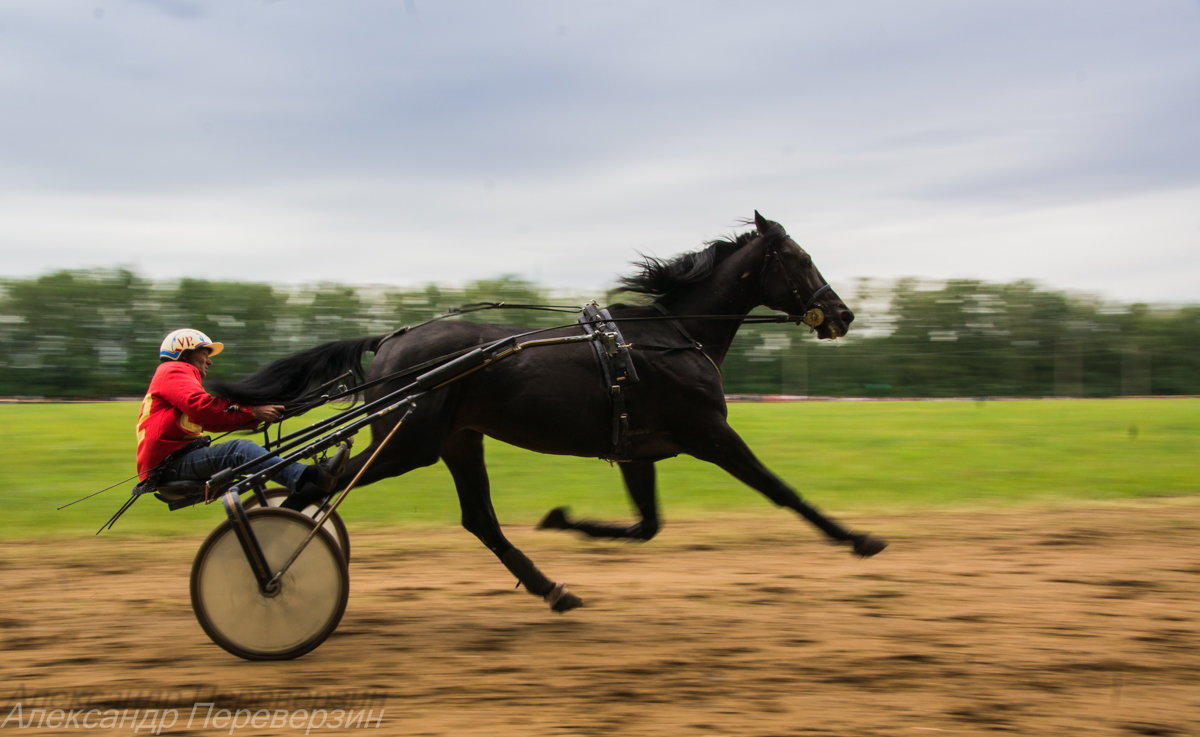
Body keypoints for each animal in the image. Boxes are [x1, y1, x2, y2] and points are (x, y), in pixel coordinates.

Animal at [220, 212, 888, 612]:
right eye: (801, 257)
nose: (844, 314)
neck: (672, 336)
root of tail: (391, 341)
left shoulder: (636, 448)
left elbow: (646, 525)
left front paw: (566, 519)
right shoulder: (710, 432)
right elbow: (782, 490)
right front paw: (859, 538)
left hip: (458, 441)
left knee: (478, 520)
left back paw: (553, 590)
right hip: (409, 444)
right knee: (318, 483)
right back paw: (270, 572)